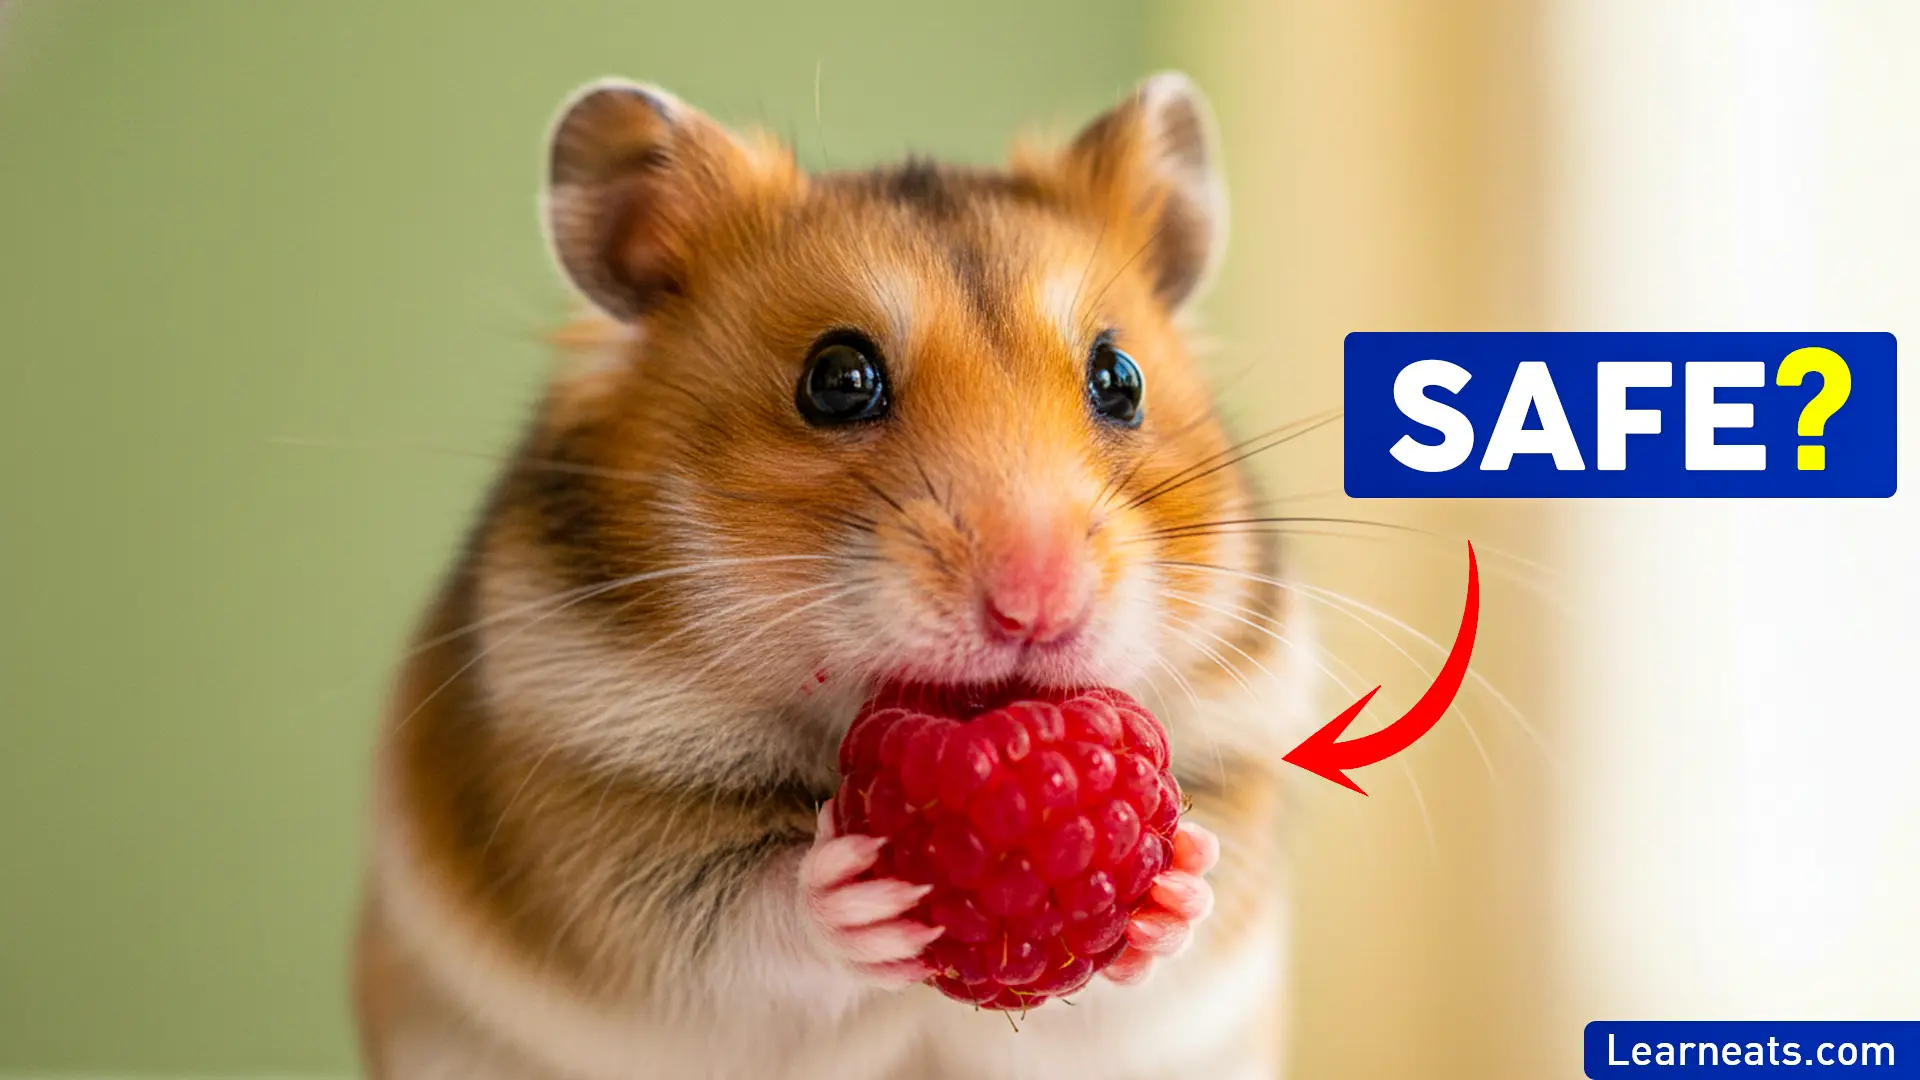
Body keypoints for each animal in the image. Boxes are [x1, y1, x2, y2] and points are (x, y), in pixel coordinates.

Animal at [354, 72, 1307, 1080]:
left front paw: (1179, 878)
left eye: (1119, 378)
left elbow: (1175, 932)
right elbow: (748, 916)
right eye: (837, 379)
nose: (1036, 606)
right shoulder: (589, 827)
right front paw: (861, 890)